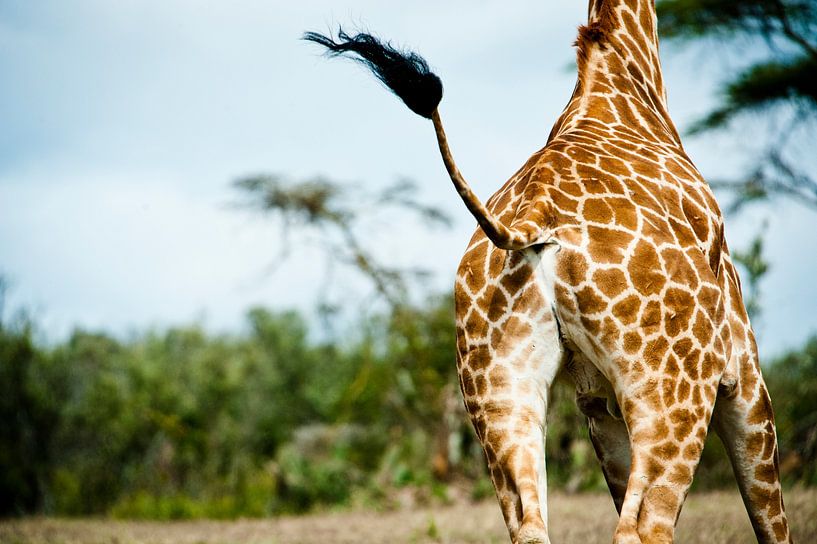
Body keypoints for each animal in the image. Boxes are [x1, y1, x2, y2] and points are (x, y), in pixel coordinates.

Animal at [304, 1, 792, 542]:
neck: (627, 81)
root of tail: (534, 221)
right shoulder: (743, 371)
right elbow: (770, 517)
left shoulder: (596, 402)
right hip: (675, 391)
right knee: (643, 528)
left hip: (499, 390)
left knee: (531, 525)